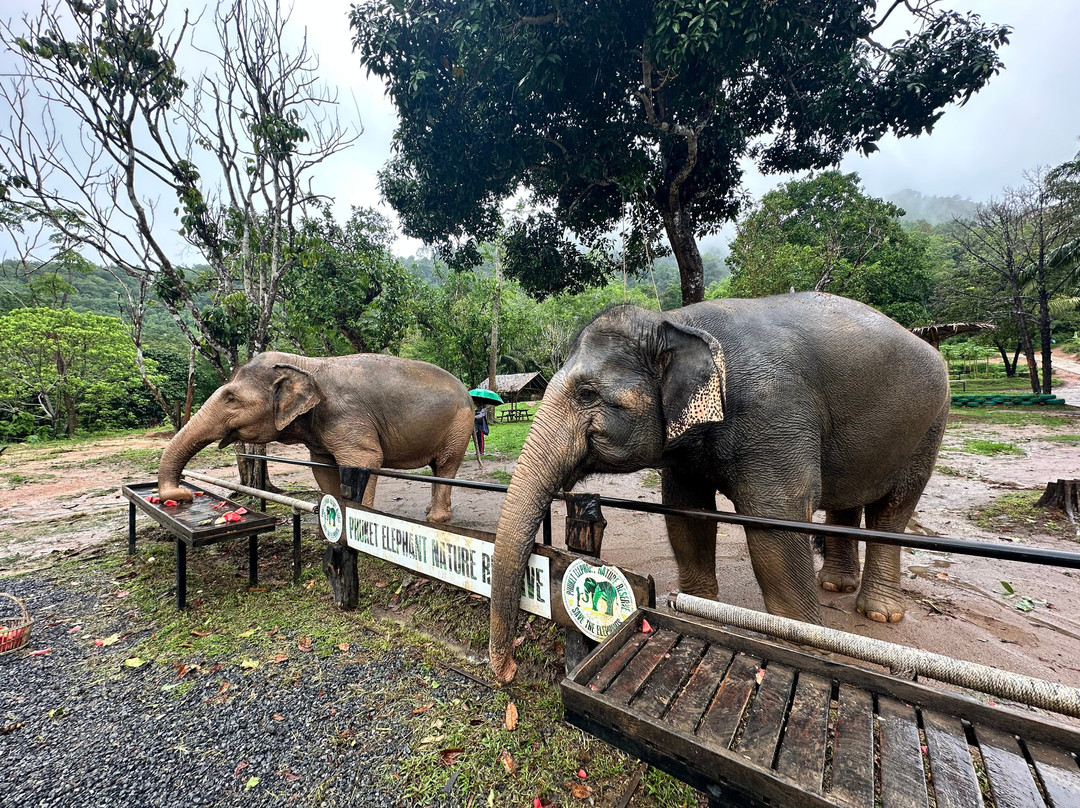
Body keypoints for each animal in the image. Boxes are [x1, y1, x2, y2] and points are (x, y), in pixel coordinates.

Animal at [157, 352, 475, 523]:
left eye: (231, 398)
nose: (184, 494)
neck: (307, 364)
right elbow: (322, 467)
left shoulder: (345, 414)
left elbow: (365, 461)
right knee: (438, 467)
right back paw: (431, 511)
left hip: (460, 423)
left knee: (446, 464)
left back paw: (435, 519)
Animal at [488, 293, 950, 682]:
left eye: (586, 394)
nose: (508, 671)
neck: (676, 321)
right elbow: (687, 515)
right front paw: (695, 614)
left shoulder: (774, 416)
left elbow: (776, 527)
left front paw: (799, 649)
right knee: (848, 502)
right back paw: (836, 586)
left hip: (929, 425)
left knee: (893, 511)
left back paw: (880, 614)